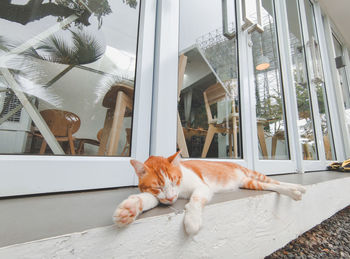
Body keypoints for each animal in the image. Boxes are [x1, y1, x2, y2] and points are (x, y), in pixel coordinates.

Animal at [113, 152, 306, 236]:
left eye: (174, 181)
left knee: (276, 182)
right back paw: (295, 190)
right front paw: (129, 209)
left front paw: (192, 220)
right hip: (249, 183)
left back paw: (298, 188)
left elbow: (195, 199)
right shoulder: (157, 195)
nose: (171, 197)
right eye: (158, 187)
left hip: (253, 174)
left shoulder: (202, 187)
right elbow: (147, 199)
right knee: (272, 185)